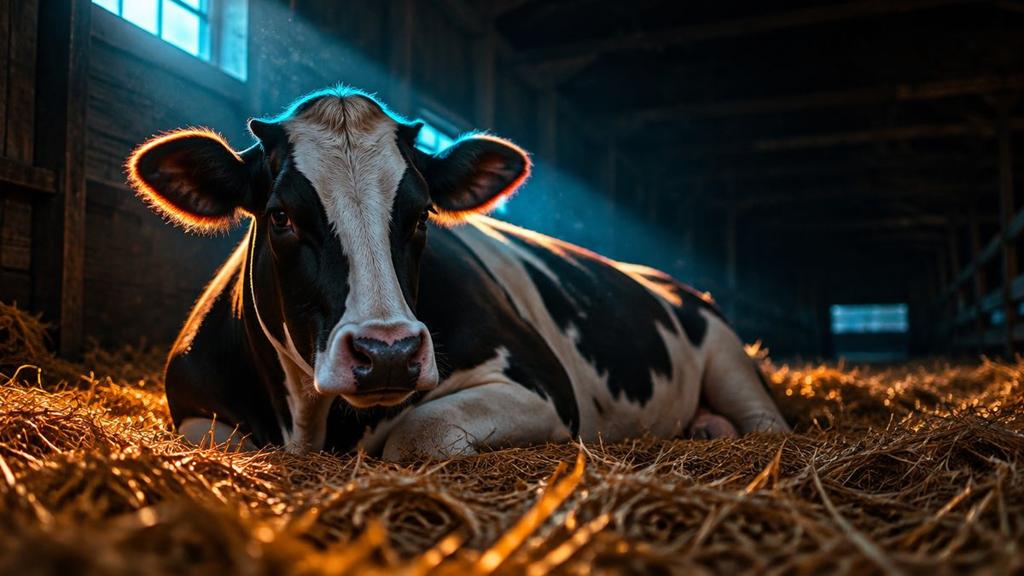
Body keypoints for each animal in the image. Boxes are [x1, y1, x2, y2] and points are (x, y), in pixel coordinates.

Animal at [126, 87, 789, 461]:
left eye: (422, 214)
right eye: (281, 215)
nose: (387, 353)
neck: (309, 422)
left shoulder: (545, 385)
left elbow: (417, 435)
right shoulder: (195, 411)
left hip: (726, 350)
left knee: (767, 421)